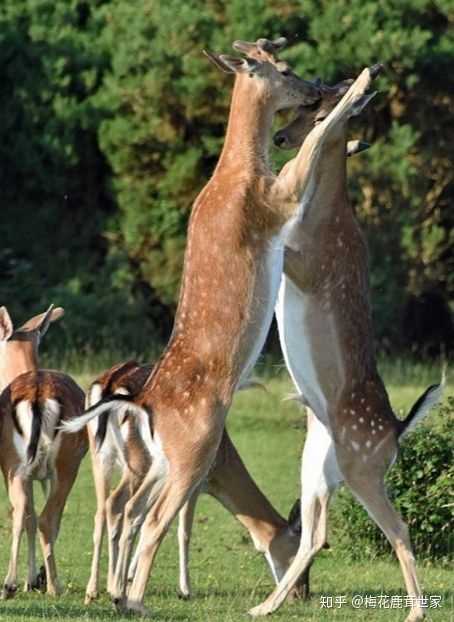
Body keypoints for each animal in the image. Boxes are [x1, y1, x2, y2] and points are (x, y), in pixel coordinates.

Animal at [0, 308, 88, 600]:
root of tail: (37, 394)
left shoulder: (23, 472)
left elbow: (28, 515)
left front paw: (29, 580)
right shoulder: (43, 474)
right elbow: (44, 518)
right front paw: (36, 579)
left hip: (14, 466)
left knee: (20, 513)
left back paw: (9, 585)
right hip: (66, 465)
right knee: (48, 518)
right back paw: (53, 586)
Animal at [84, 358, 306, 608]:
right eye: (298, 556)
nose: (301, 594)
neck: (222, 463)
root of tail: (109, 383)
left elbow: (146, 518)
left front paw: (130, 577)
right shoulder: (194, 481)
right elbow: (182, 530)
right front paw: (185, 590)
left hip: (100, 456)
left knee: (103, 509)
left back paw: (94, 590)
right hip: (138, 463)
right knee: (117, 504)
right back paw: (111, 587)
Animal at [247, 66, 446, 620]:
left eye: (316, 108)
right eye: (296, 105)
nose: (280, 138)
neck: (323, 219)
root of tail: (397, 432)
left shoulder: (309, 265)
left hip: (362, 467)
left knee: (398, 528)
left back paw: (416, 610)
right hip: (318, 467)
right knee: (316, 534)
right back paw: (264, 606)